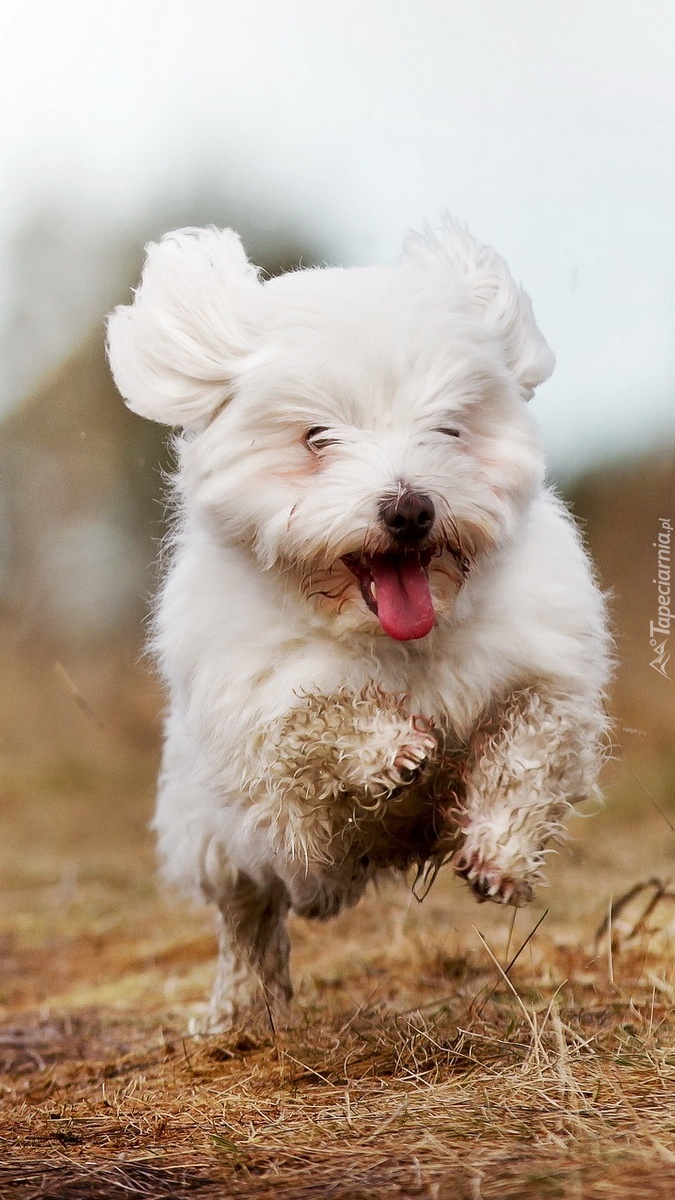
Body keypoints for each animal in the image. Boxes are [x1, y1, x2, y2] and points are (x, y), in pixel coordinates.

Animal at [106, 220, 610, 1027]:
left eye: (448, 429)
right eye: (317, 437)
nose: (409, 507)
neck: (393, 641)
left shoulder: (546, 671)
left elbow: (528, 749)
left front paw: (499, 852)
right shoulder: (262, 723)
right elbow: (312, 723)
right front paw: (391, 752)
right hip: (211, 835)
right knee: (248, 920)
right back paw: (240, 1011)